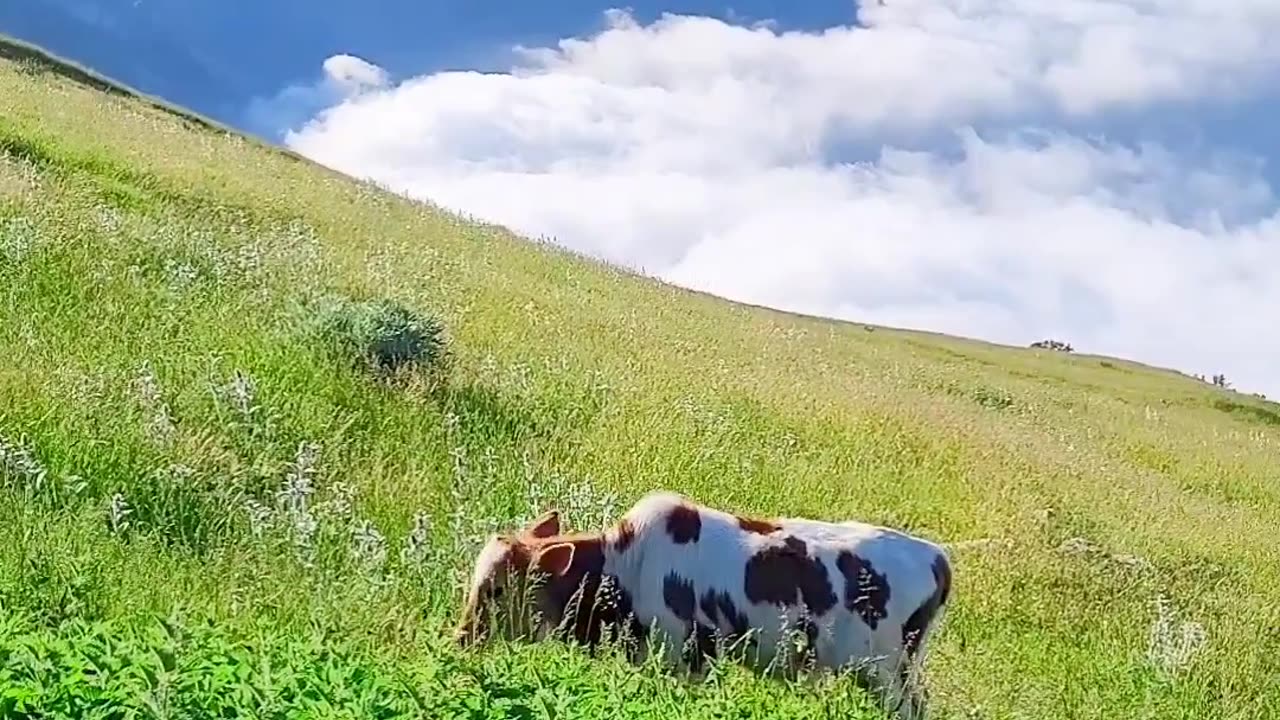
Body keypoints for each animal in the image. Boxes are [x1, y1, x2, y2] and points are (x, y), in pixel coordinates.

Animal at [458, 489, 952, 712]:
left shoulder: (683, 654)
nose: (462, 637)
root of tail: (937, 558)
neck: (623, 566)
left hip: (888, 675)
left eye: (496, 589)